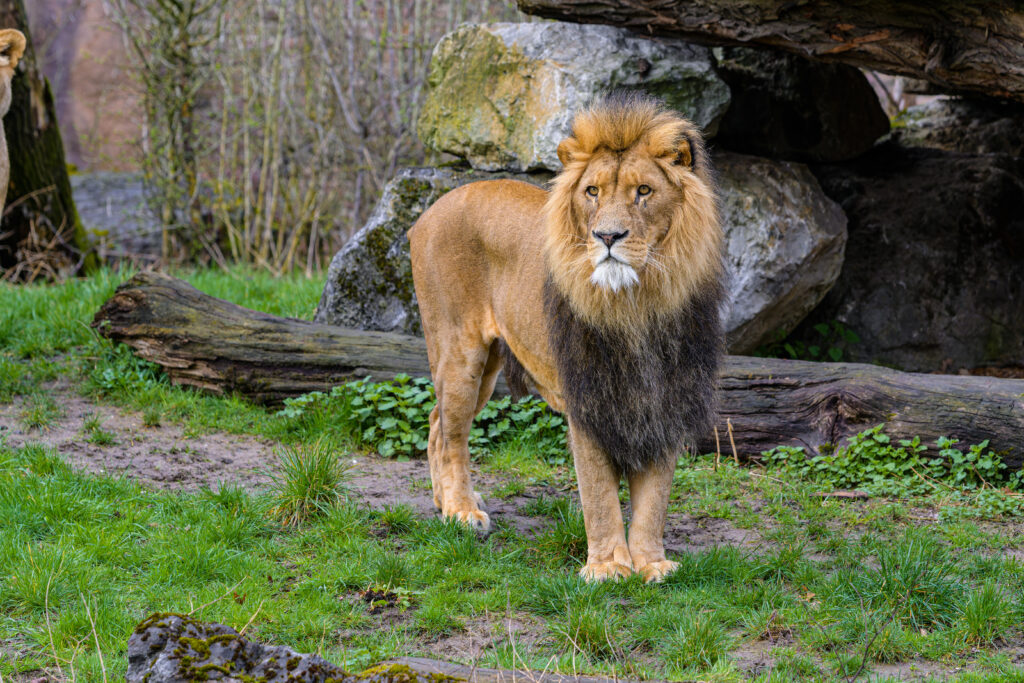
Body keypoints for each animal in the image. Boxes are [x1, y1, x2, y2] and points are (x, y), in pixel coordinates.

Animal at [408, 93, 724, 583]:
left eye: (644, 191)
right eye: (592, 192)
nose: (607, 235)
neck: (638, 306)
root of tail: (430, 210)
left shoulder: (666, 396)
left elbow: (655, 495)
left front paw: (652, 564)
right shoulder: (589, 399)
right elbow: (599, 493)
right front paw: (608, 566)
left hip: (486, 368)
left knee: (436, 421)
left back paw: (448, 504)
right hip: (460, 352)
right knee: (452, 434)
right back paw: (462, 513)